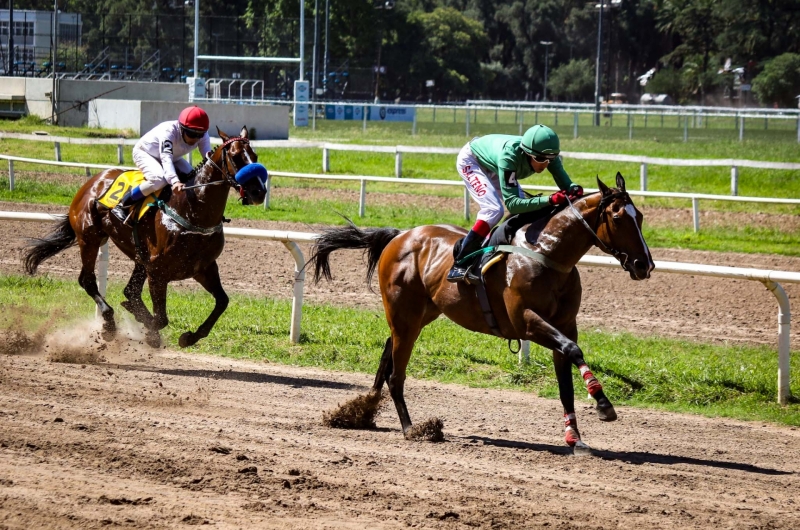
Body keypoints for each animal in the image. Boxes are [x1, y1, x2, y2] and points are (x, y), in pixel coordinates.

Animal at [22, 124, 268, 346]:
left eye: (255, 155)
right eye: (236, 157)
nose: (259, 192)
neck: (192, 209)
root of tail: (93, 182)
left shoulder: (204, 268)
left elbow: (222, 302)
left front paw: (189, 337)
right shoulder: (158, 272)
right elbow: (160, 319)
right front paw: (150, 333)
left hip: (138, 255)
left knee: (129, 291)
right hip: (89, 238)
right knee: (88, 280)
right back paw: (109, 325)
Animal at [310, 172, 652, 450]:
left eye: (641, 216)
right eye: (618, 218)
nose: (644, 265)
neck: (547, 254)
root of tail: (400, 236)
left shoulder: (566, 323)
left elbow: (565, 380)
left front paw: (575, 437)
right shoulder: (526, 322)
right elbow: (573, 349)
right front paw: (603, 402)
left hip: (421, 313)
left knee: (387, 351)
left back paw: (363, 412)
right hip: (404, 312)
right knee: (396, 373)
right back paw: (412, 428)